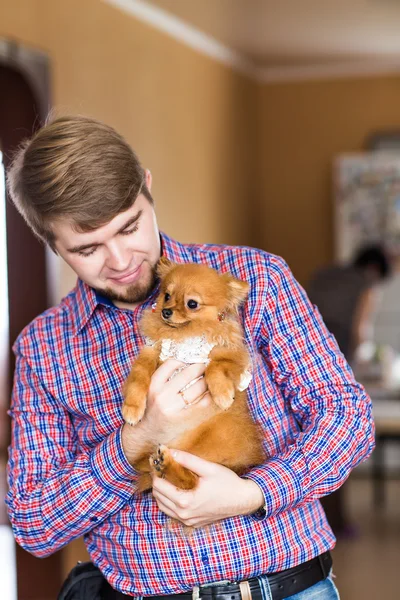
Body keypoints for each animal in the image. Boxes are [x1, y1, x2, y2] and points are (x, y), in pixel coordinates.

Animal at [122, 258, 266, 492]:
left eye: (192, 304)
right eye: (167, 296)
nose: (166, 311)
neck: (184, 335)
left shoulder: (230, 355)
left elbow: (215, 368)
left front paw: (222, 395)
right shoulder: (151, 352)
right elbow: (138, 379)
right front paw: (132, 409)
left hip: (208, 448)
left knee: (191, 482)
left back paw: (166, 465)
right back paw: (162, 464)